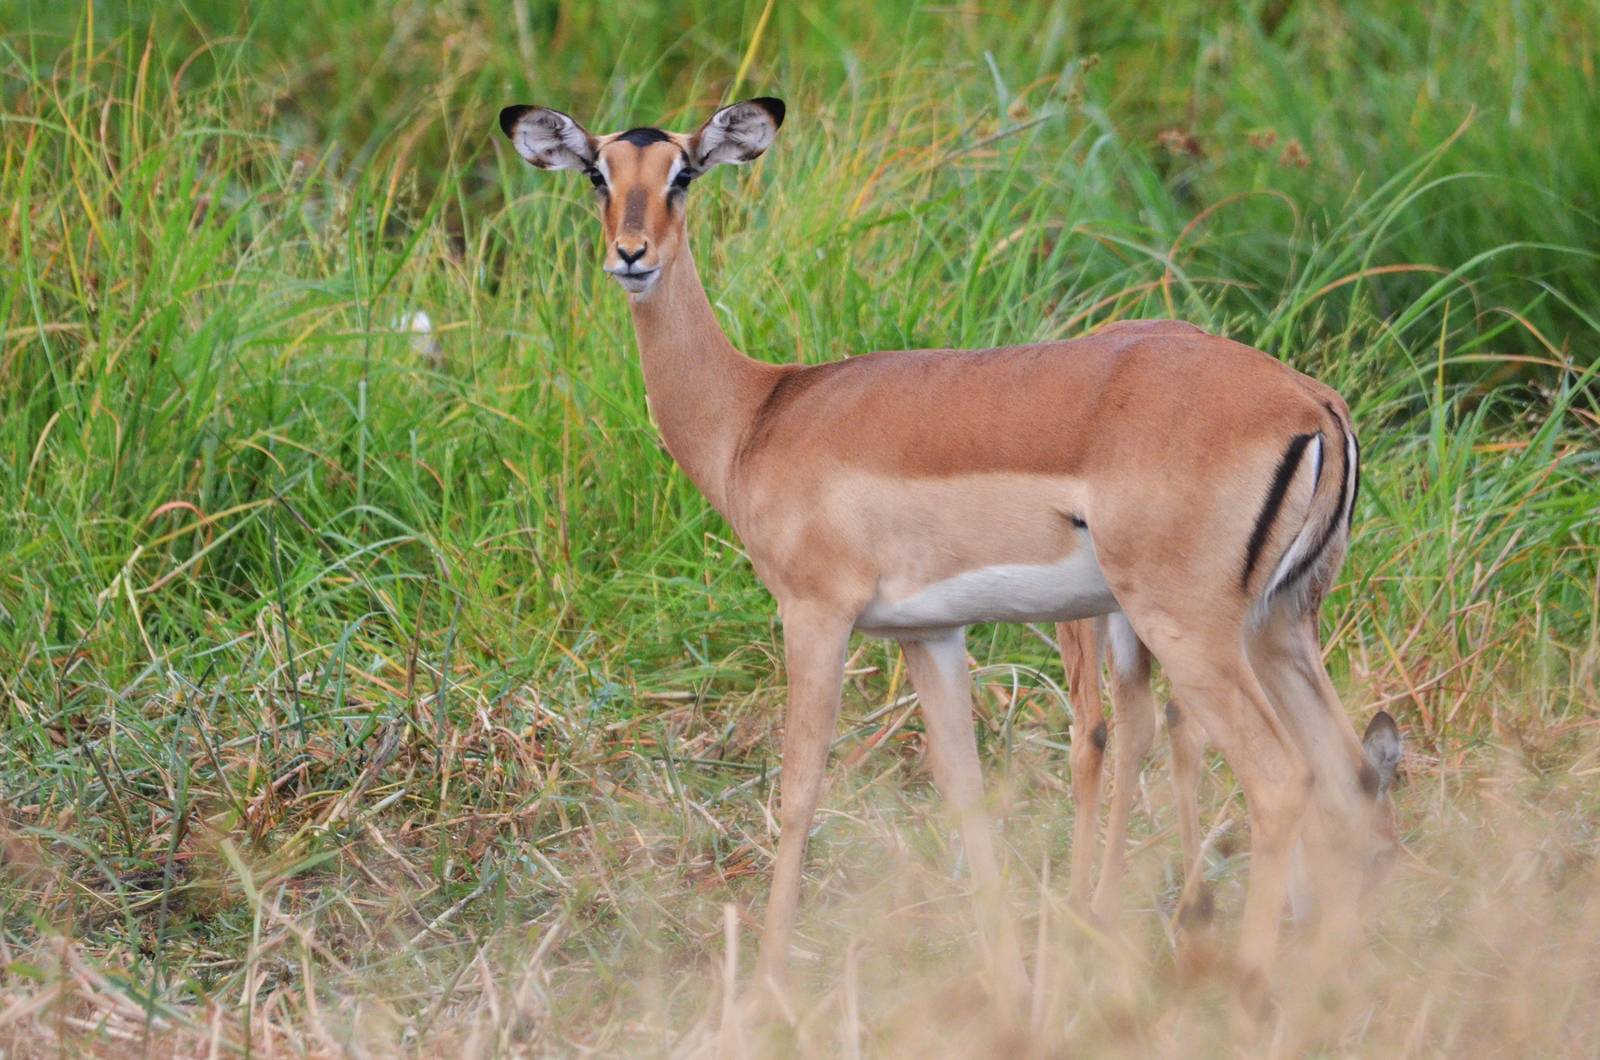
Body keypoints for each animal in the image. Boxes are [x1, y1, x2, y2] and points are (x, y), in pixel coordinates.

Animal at [498, 96, 1402, 1016]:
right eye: (598, 174)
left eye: (682, 173)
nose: (631, 254)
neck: (759, 414)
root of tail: (1314, 403)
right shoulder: (928, 635)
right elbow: (965, 794)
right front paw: (1009, 985)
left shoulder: (814, 615)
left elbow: (799, 788)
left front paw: (766, 989)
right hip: (1278, 626)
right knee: (1349, 776)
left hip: (1190, 629)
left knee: (1280, 781)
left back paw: (1246, 989)